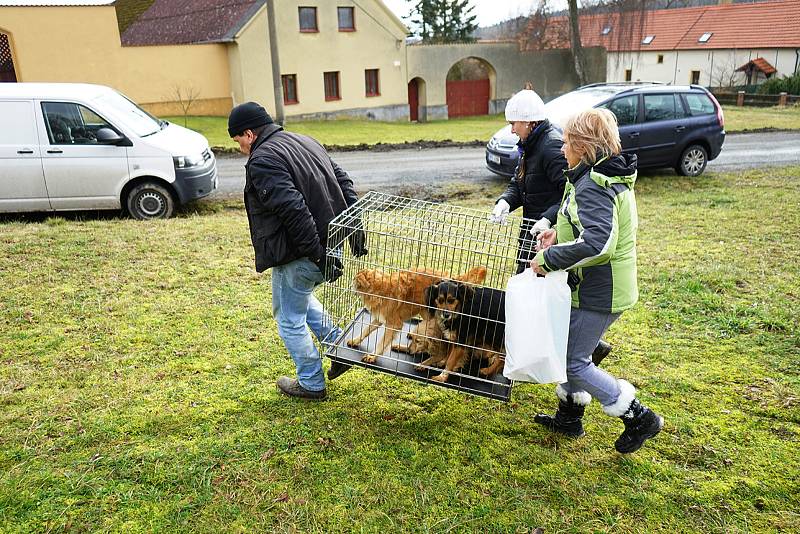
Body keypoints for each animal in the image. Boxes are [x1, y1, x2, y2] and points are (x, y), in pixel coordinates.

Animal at [350, 266, 488, 366]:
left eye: (354, 280)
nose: (349, 284)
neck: (380, 289)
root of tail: (452, 279)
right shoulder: (380, 319)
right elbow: (366, 329)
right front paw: (355, 340)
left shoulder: (393, 324)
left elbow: (382, 342)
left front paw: (372, 356)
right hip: (425, 311)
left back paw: (443, 360)